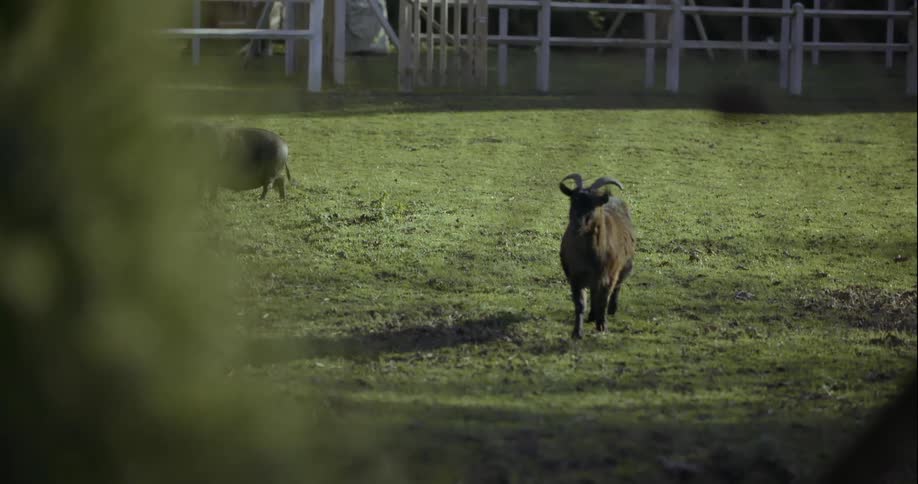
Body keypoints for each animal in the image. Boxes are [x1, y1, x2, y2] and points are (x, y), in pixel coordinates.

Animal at [559, 173, 636, 339]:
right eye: (572, 200)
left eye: (593, 205)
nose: (577, 224)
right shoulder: (576, 276)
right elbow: (580, 304)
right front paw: (577, 332)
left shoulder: (609, 275)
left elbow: (603, 300)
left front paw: (602, 326)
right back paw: (592, 316)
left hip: (625, 265)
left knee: (617, 287)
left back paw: (611, 310)